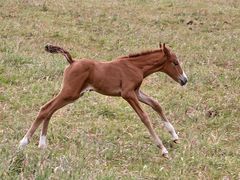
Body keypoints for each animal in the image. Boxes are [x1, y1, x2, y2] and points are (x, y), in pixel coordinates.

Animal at [19, 43, 188, 158]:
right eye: (175, 62)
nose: (184, 80)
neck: (136, 66)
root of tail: (73, 61)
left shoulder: (137, 92)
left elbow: (156, 104)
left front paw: (174, 136)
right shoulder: (128, 94)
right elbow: (144, 117)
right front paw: (163, 149)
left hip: (73, 95)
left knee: (50, 110)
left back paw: (42, 144)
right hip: (69, 92)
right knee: (45, 109)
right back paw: (24, 142)